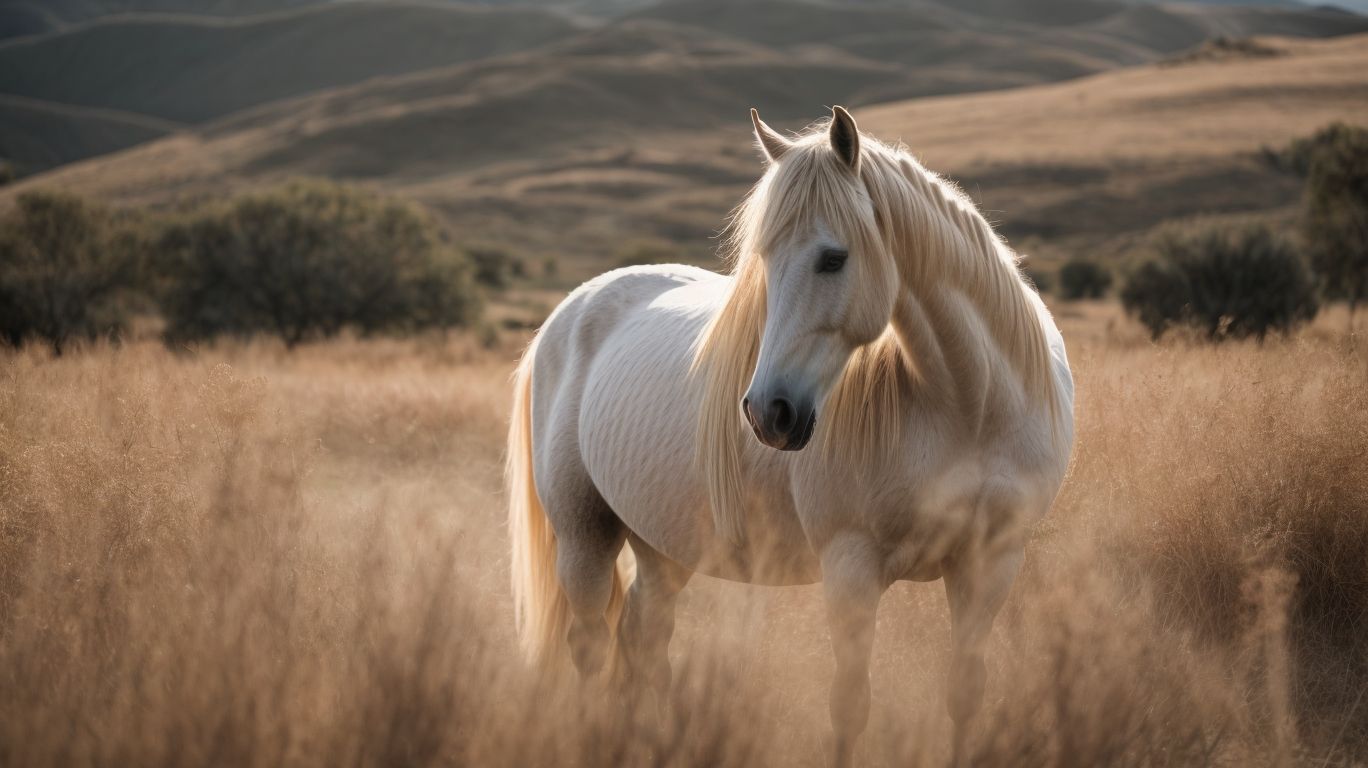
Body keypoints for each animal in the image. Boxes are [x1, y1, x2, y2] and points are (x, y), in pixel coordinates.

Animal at [507, 105, 1075, 766]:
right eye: (767, 260)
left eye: (832, 258)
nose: (765, 413)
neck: (970, 408)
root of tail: (570, 310)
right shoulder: (851, 569)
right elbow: (850, 706)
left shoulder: (990, 565)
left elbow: (964, 695)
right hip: (585, 535)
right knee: (591, 646)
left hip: (662, 546)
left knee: (644, 639)